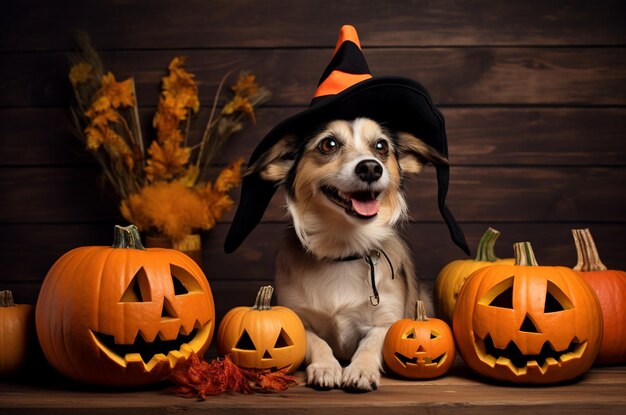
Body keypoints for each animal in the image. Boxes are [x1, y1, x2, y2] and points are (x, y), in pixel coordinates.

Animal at [246, 118, 446, 394]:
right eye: (328, 144)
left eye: (381, 146)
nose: (371, 168)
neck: (344, 251)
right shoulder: (298, 321)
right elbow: (316, 341)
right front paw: (326, 367)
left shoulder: (386, 323)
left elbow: (370, 344)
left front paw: (360, 370)